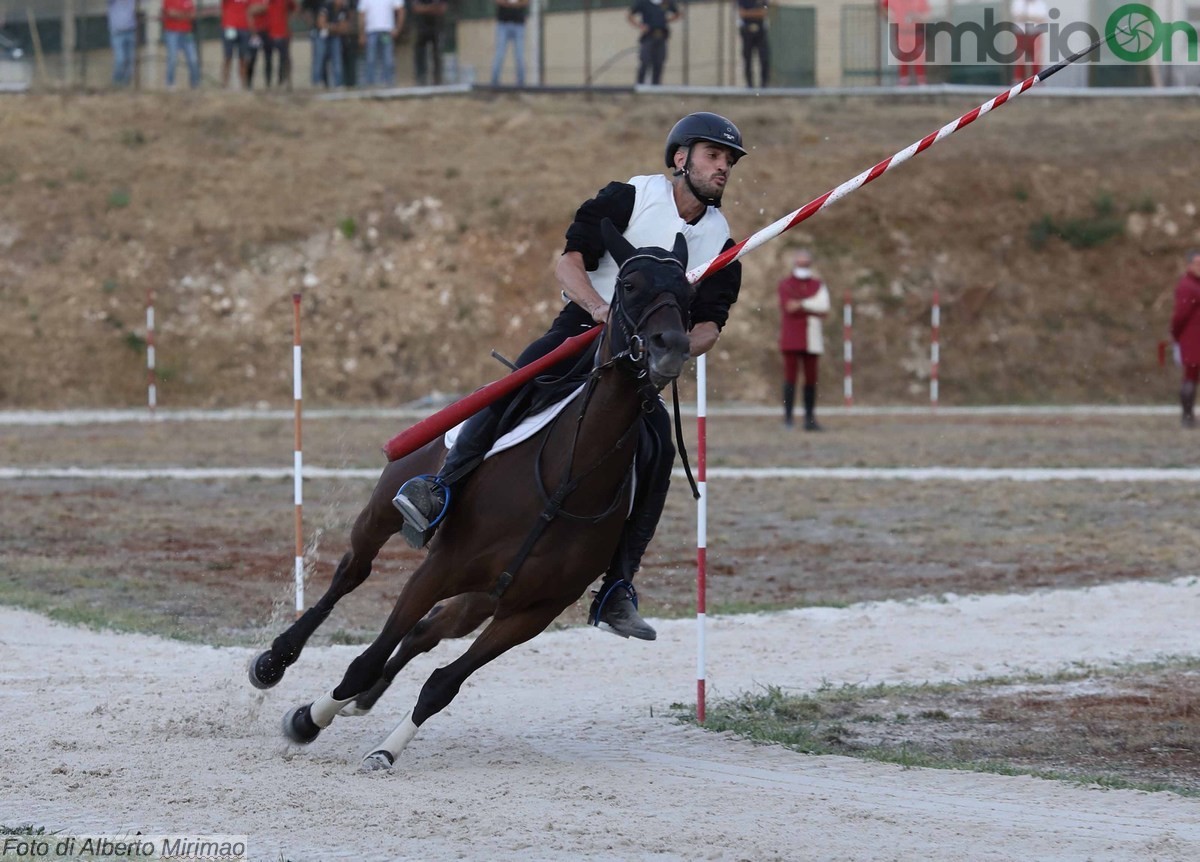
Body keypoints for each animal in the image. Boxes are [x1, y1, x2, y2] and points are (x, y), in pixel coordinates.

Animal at [253, 220, 696, 768]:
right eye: (630, 286)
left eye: (688, 296)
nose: (670, 346)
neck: (565, 484)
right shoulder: (439, 568)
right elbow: (366, 659)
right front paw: (307, 719)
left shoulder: (531, 612)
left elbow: (443, 685)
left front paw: (385, 750)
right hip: (383, 514)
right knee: (352, 572)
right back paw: (276, 661)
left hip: (482, 598)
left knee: (426, 632)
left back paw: (364, 698)